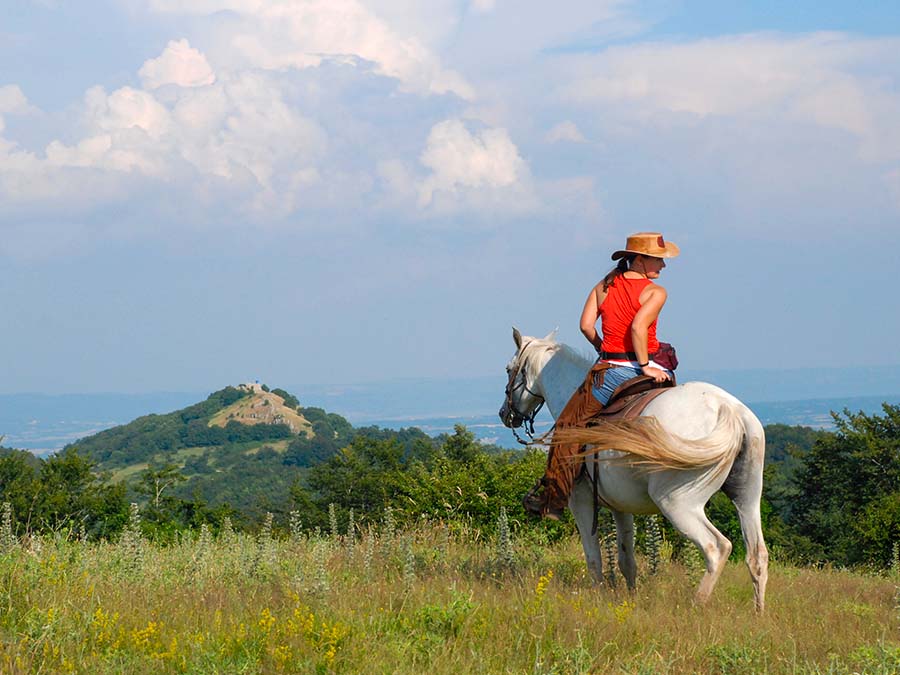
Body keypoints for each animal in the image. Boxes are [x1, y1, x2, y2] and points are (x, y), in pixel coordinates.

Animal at [500, 328, 768, 612]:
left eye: (508, 369)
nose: (505, 413)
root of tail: (727, 409)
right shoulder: (621, 506)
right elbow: (626, 558)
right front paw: (630, 598)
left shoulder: (581, 502)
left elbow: (593, 558)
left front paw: (598, 598)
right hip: (747, 498)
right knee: (757, 555)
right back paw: (758, 612)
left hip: (678, 503)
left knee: (716, 547)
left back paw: (696, 604)